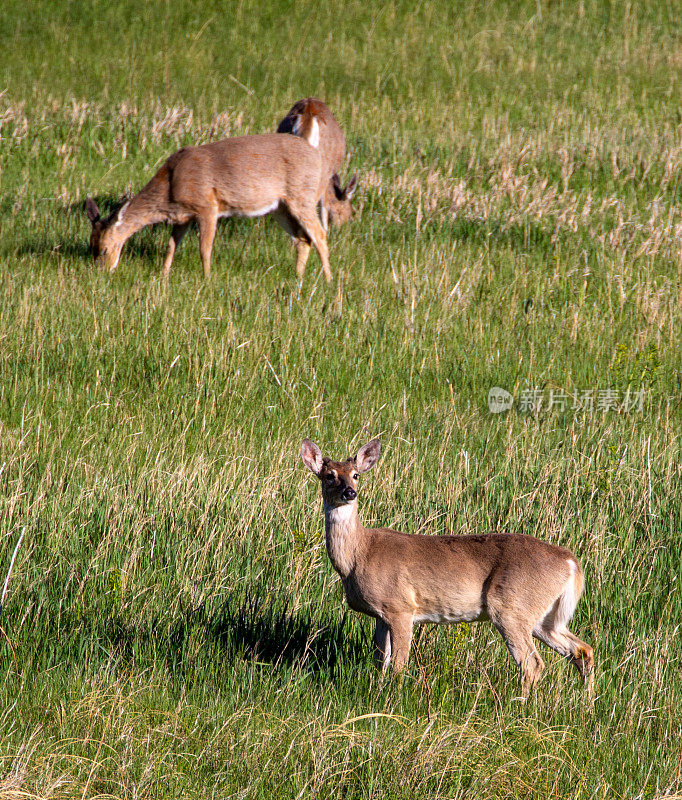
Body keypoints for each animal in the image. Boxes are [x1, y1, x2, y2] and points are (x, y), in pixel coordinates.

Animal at [85, 132, 350, 282]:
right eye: (91, 246)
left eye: (105, 249)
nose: (102, 273)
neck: (170, 186)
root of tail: (320, 161)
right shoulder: (183, 217)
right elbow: (171, 246)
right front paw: (163, 275)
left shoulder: (207, 206)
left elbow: (205, 248)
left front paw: (207, 279)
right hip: (280, 208)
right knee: (303, 239)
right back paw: (298, 276)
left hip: (302, 196)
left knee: (320, 235)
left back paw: (328, 280)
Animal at [300, 438, 592, 700]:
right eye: (329, 476)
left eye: (356, 475)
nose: (350, 492)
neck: (359, 554)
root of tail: (570, 562)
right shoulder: (381, 615)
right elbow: (380, 661)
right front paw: (378, 691)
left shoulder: (401, 607)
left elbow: (398, 664)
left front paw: (393, 698)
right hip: (545, 616)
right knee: (582, 650)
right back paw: (585, 703)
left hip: (511, 605)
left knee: (532, 663)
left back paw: (521, 706)